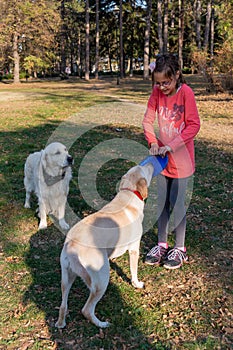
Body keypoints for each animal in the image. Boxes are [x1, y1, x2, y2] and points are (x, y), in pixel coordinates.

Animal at [55, 163, 154, 330]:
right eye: (144, 168)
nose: (153, 162)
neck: (128, 193)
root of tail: (72, 245)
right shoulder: (134, 249)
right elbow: (134, 271)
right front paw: (137, 284)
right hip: (101, 281)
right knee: (86, 310)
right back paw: (102, 324)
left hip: (66, 278)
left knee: (63, 305)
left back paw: (61, 323)